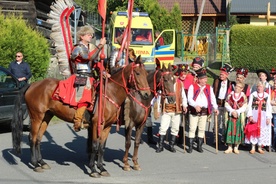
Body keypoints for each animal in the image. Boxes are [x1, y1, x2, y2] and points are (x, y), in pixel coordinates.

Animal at [10, 56, 150, 176]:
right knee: (32, 138)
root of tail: (32, 85)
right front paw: (93, 169)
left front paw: (101, 168)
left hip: (46, 117)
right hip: (36, 117)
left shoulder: (107, 126)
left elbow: (102, 147)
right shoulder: (97, 125)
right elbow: (94, 145)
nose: (147, 94)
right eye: (137, 73)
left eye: (146, 73)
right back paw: (35, 164)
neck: (110, 93)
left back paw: (42, 162)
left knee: (38, 138)